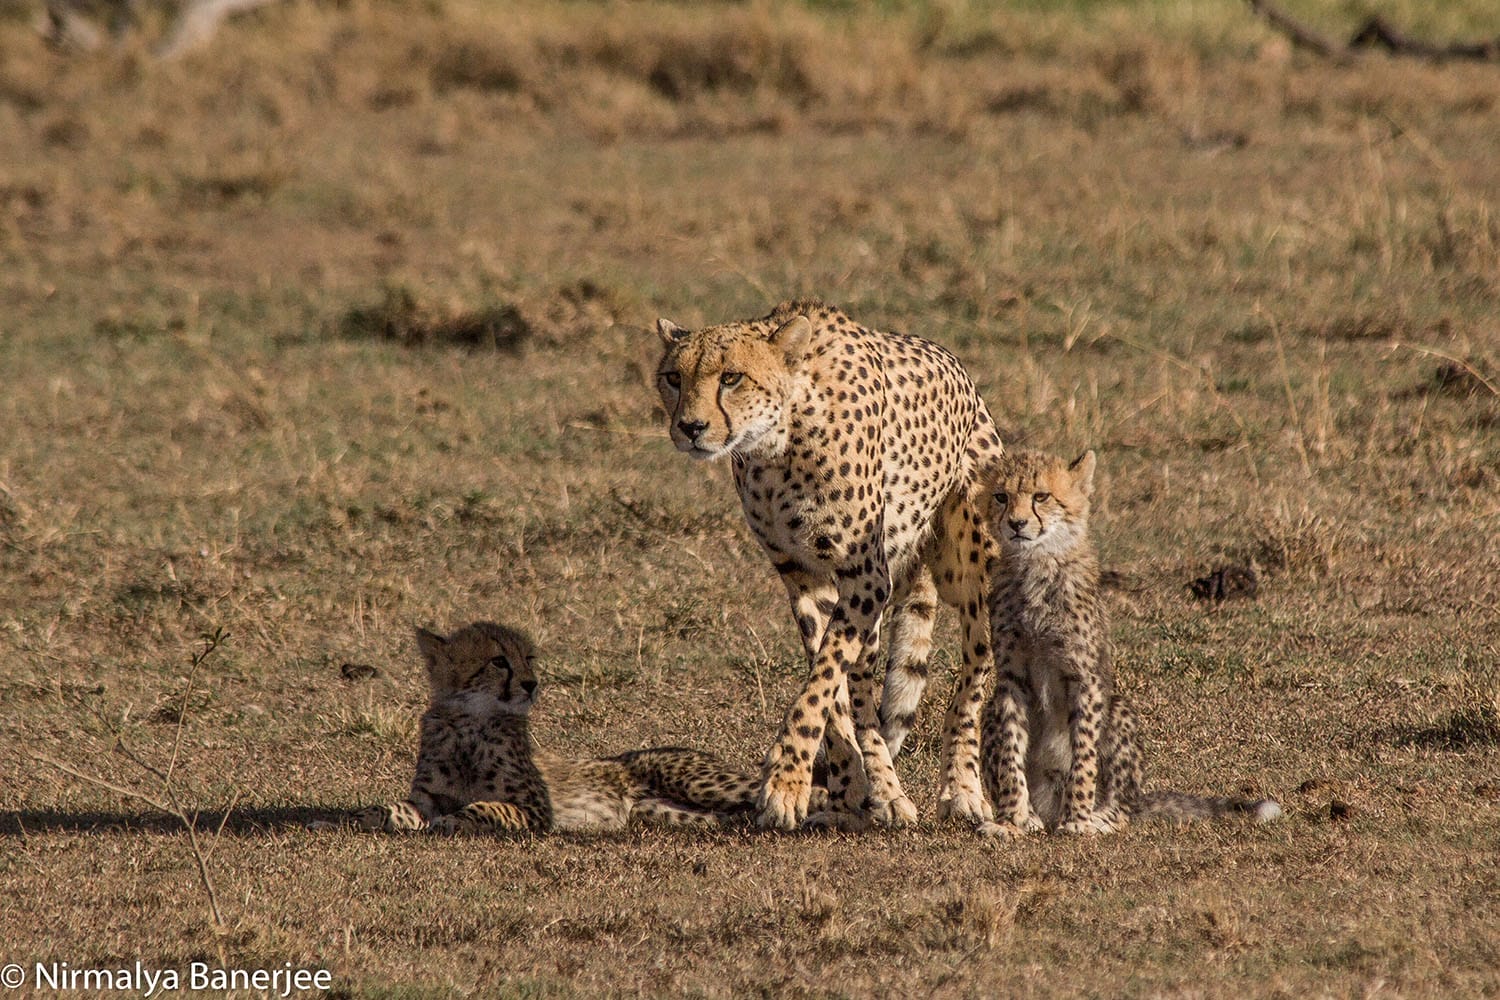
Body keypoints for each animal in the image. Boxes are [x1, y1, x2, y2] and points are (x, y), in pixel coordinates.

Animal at [356, 621, 771, 835]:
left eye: (528, 658)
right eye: (498, 661)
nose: (531, 684)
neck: (470, 723)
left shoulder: (536, 810)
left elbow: (487, 806)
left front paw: (455, 819)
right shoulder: (427, 798)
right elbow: (399, 806)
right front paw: (369, 815)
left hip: (698, 782)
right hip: (660, 812)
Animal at [654, 299, 1005, 830]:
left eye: (732, 378)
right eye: (674, 377)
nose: (690, 428)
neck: (776, 444)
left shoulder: (866, 575)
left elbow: (820, 681)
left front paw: (785, 779)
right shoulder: (804, 577)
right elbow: (831, 690)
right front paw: (844, 788)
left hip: (974, 564)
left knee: (973, 675)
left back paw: (961, 788)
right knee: (864, 690)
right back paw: (884, 790)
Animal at [975, 447, 1281, 838]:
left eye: (1040, 496)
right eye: (1001, 496)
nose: (1016, 524)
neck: (1037, 565)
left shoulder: (1085, 677)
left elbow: (1084, 755)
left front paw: (1078, 819)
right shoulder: (1011, 679)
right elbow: (1010, 753)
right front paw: (1011, 820)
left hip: (1118, 709)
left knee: (1122, 804)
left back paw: (1099, 817)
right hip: (990, 712)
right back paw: (1032, 816)